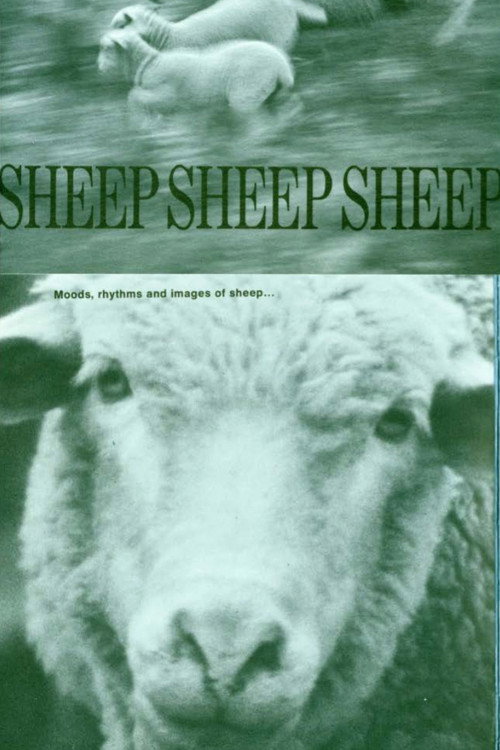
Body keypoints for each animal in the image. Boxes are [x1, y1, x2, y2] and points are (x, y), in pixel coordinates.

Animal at [98, 27, 294, 114]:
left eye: (106, 48)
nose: (99, 66)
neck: (150, 62)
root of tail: (282, 66)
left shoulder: (166, 94)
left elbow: (134, 95)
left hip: (249, 87)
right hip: (275, 89)